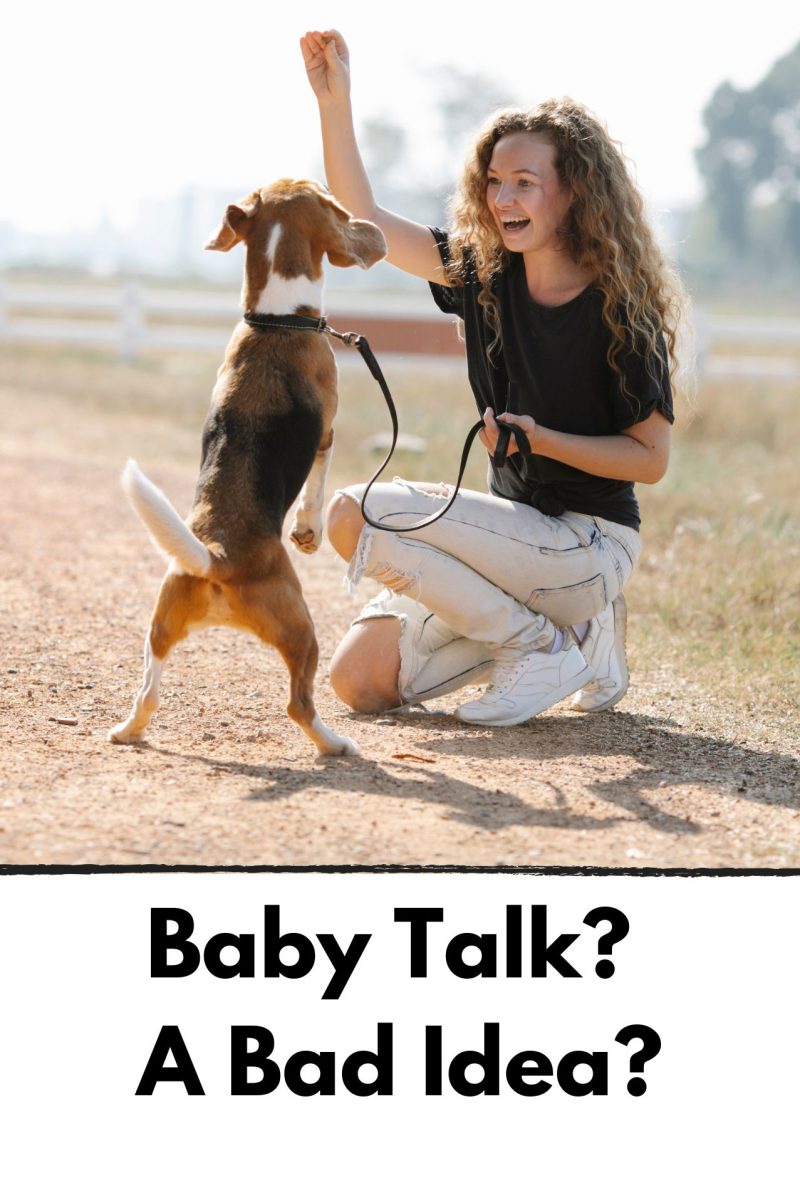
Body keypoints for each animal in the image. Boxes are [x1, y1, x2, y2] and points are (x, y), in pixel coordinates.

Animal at [108, 178, 387, 755]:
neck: (276, 320)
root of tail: (217, 556)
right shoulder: (327, 432)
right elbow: (316, 488)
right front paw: (307, 532)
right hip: (302, 630)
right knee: (299, 704)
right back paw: (335, 744)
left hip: (159, 626)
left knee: (147, 692)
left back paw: (127, 731)